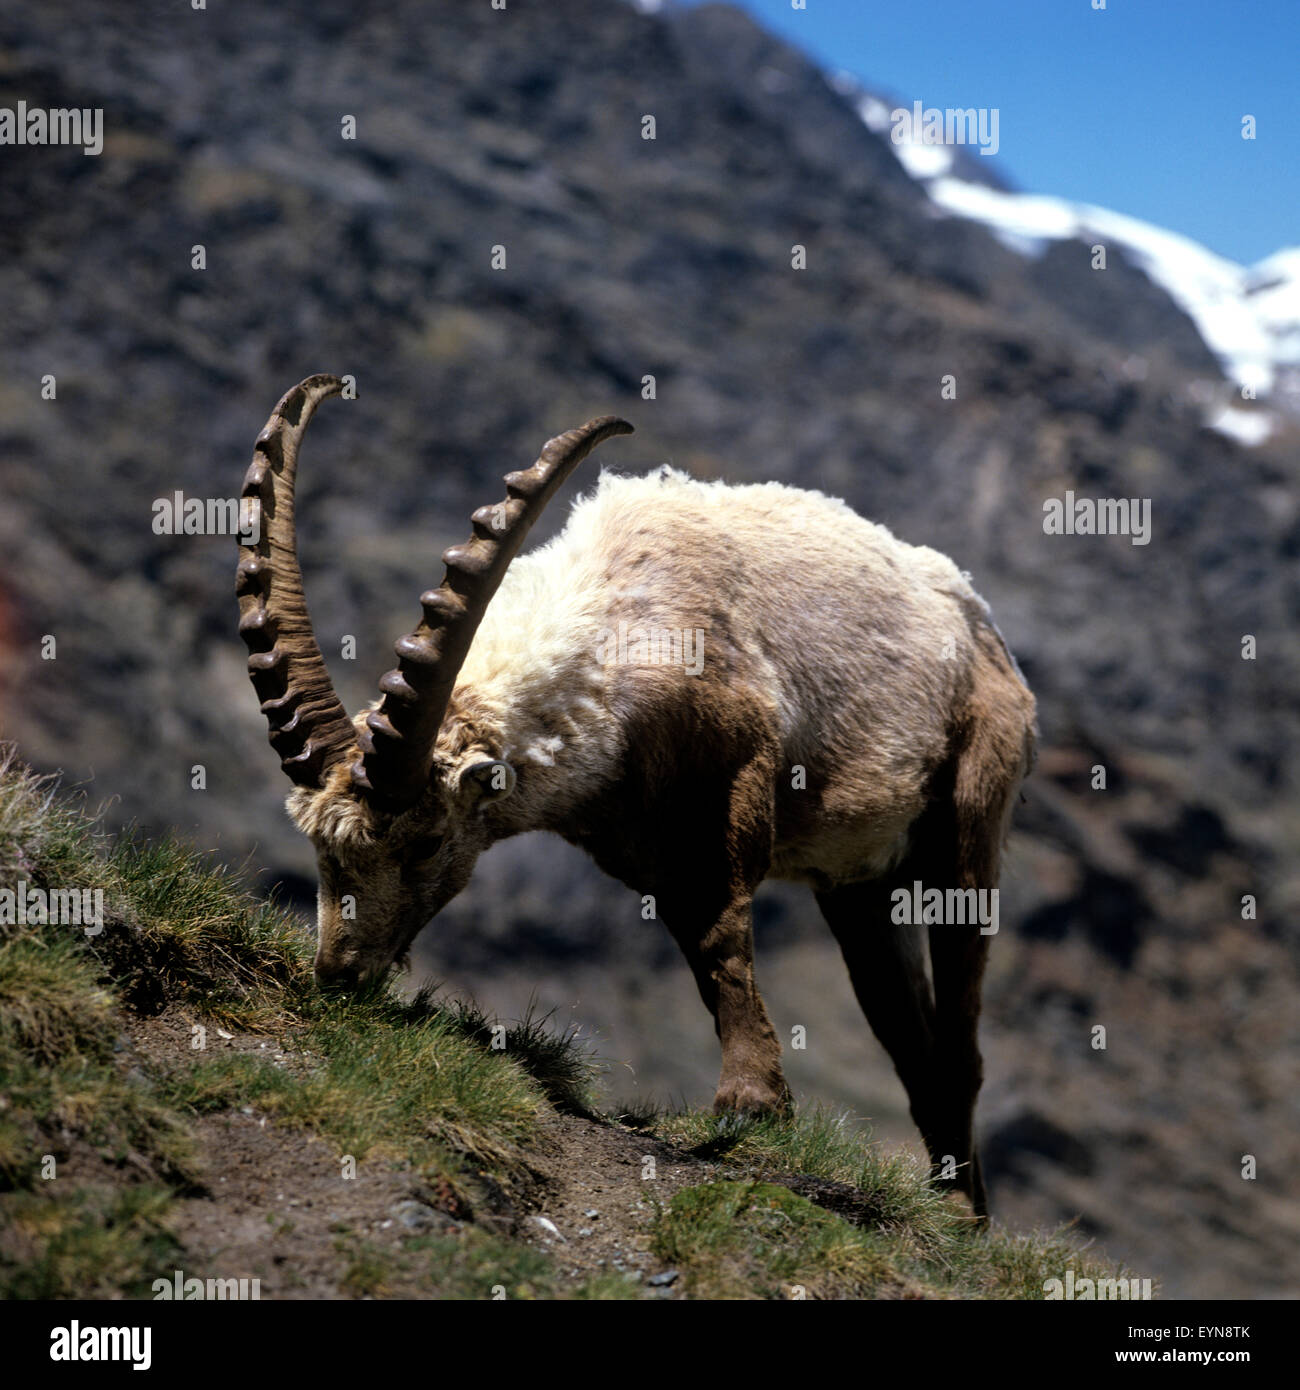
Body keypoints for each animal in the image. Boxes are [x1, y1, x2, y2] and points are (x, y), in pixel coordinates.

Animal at [237, 374, 1037, 1216]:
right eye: (321, 850)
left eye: (423, 843)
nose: (338, 975)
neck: (615, 634)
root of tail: (982, 628)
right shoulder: (643, 845)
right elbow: (696, 941)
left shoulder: (732, 785)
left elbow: (720, 931)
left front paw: (750, 1103)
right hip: (861, 886)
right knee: (912, 1042)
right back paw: (955, 1204)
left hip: (966, 824)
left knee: (960, 1044)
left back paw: (964, 1212)